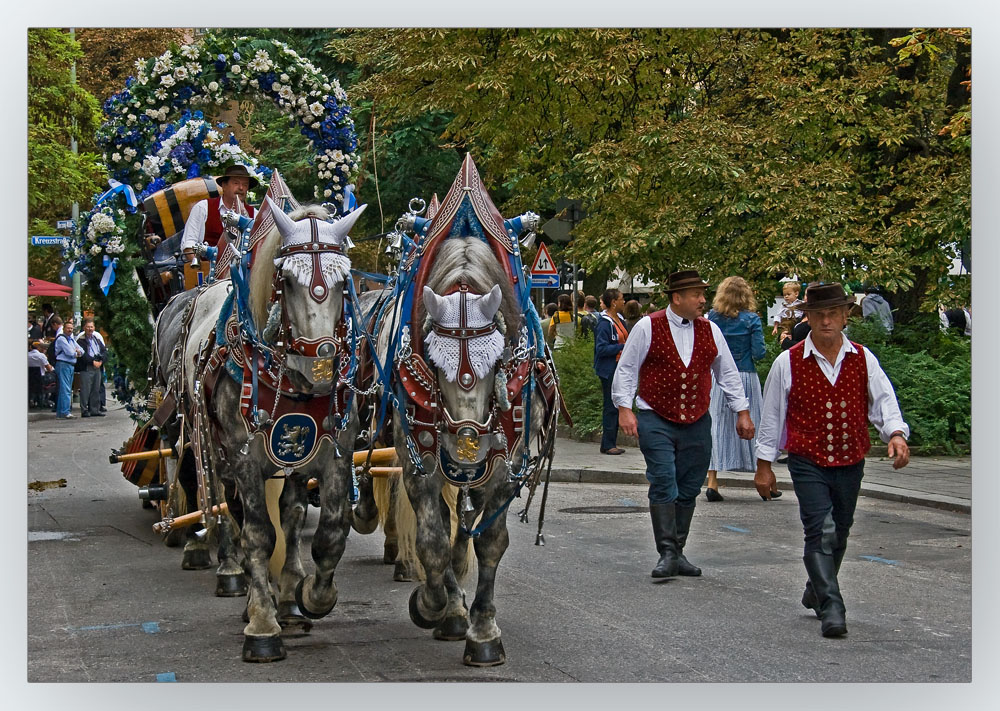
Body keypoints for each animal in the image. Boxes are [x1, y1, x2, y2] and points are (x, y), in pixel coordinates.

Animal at [152, 199, 364, 660]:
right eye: (286, 279)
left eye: (344, 280)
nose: (320, 367)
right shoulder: (245, 458)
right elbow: (259, 536)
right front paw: (263, 624)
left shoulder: (333, 453)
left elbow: (328, 534)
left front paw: (308, 597)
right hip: (204, 445)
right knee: (220, 505)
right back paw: (234, 574)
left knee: (290, 515)